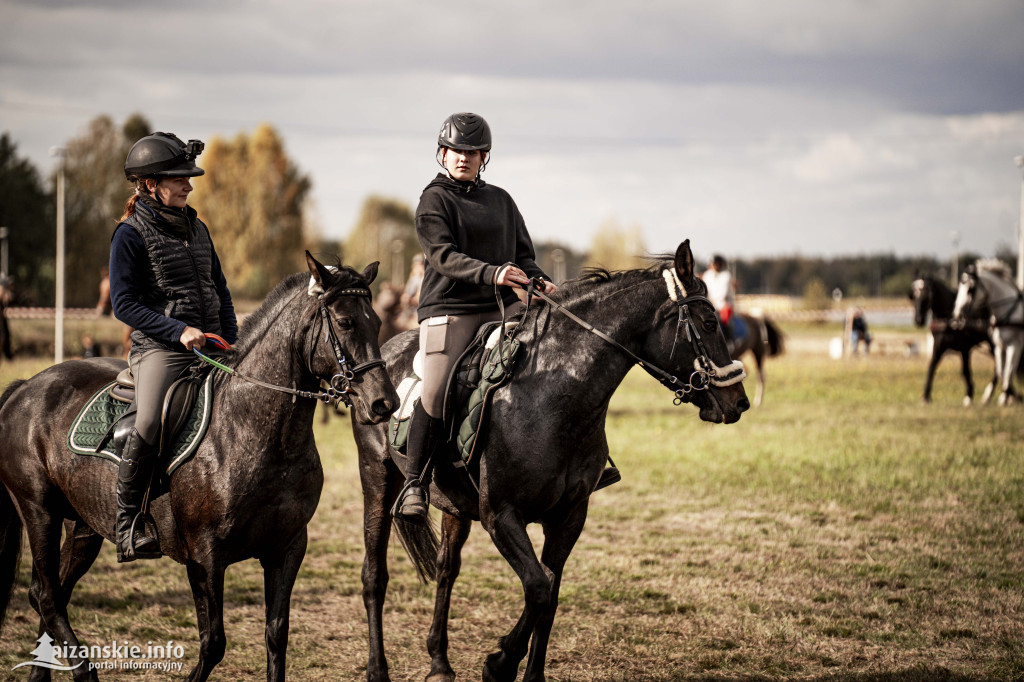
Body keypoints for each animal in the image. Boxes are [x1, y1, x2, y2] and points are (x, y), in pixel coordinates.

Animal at [0, 254, 397, 679]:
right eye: (345, 322)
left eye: (377, 321)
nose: (384, 403)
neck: (259, 433)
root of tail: (25, 388)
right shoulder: (205, 556)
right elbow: (213, 643)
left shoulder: (287, 547)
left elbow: (277, 636)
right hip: (39, 510)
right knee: (46, 594)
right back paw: (84, 671)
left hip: (83, 525)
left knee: (52, 593)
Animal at [356, 238, 749, 679]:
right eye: (709, 322)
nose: (739, 402)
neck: (553, 397)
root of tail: (383, 353)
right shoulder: (501, 516)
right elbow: (539, 589)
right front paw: (500, 661)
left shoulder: (568, 517)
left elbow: (550, 597)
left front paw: (528, 672)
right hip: (377, 480)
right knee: (374, 575)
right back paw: (377, 668)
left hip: (454, 505)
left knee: (446, 570)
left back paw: (440, 663)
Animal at [909, 274, 995, 403]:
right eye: (914, 295)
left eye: (926, 294)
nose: (919, 320)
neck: (950, 318)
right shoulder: (938, 347)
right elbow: (931, 367)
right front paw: (926, 396)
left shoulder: (965, 348)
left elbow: (965, 371)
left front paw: (969, 394)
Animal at [950, 258, 1024, 401]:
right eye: (959, 287)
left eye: (970, 289)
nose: (957, 316)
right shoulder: (1000, 346)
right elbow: (1001, 372)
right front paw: (1007, 396)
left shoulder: (1014, 345)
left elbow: (1008, 371)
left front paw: (1007, 397)